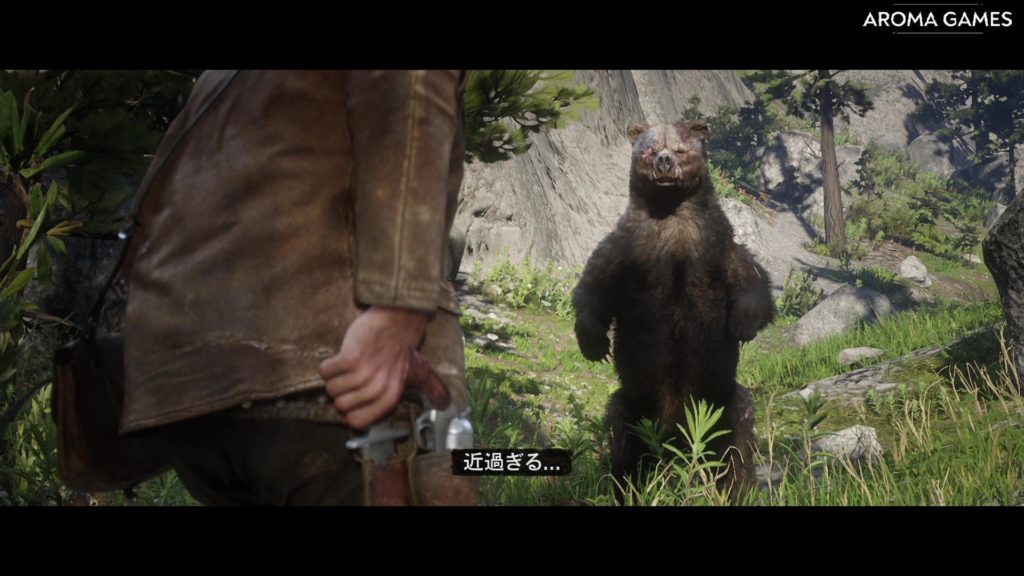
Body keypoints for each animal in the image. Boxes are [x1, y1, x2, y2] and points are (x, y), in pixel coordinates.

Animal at [572, 120, 774, 500]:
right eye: (651, 149)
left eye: (680, 148)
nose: (664, 162)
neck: (671, 213)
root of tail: (677, 438)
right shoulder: (630, 248)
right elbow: (595, 286)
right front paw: (594, 344)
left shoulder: (714, 248)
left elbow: (752, 281)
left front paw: (742, 326)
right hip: (634, 404)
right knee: (625, 442)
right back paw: (626, 489)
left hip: (721, 399)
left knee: (737, 440)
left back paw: (739, 489)